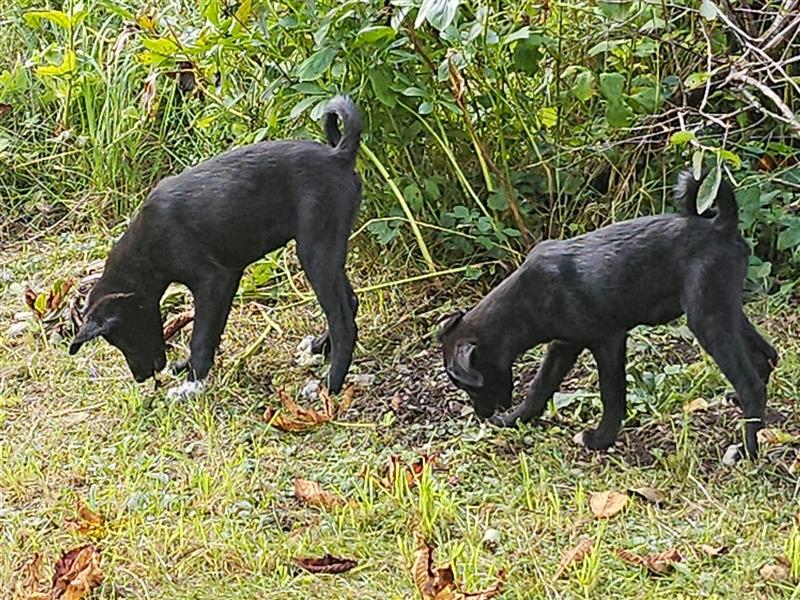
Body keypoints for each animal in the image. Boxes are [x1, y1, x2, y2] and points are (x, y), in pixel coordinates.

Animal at [69, 97, 362, 398]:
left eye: (123, 335)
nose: (141, 377)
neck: (145, 249)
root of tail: (337, 156)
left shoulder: (215, 280)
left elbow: (201, 336)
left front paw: (193, 383)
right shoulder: (226, 279)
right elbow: (210, 331)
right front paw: (186, 368)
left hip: (315, 249)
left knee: (342, 321)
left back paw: (329, 385)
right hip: (326, 249)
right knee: (350, 301)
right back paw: (318, 348)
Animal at [440, 171, 780, 462]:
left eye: (467, 385)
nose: (483, 415)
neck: (524, 300)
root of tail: (721, 225)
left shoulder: (607, 340)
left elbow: (611, 394)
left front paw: (600, 439)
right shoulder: (564, 345)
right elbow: (540, 387)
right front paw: (515, 419)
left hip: (706, 318)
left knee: (750, 383)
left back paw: (746, 450)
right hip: (723, 308)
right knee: (766, 355)